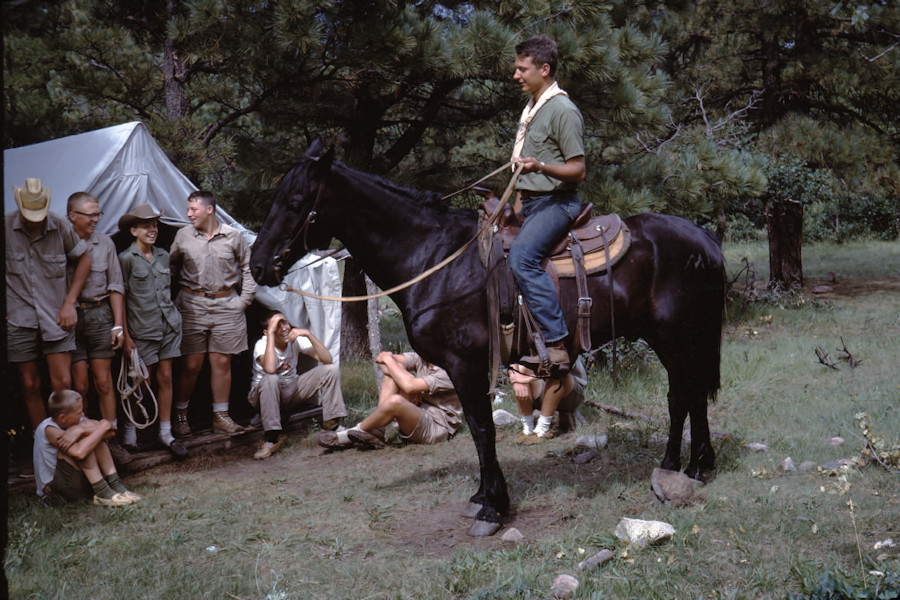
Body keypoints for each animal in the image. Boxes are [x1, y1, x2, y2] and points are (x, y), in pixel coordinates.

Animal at [250, 138, 728, 536]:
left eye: (295, 201)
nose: (257, 265)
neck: (435, 258)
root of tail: (704, 238)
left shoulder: (464, 363)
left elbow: (482, 429)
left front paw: (493, 508)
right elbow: (480, 430)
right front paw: (482, 496)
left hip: (676, 337)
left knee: (682, 396)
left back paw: (681, 466)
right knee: (690, 396)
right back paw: (692, 465)